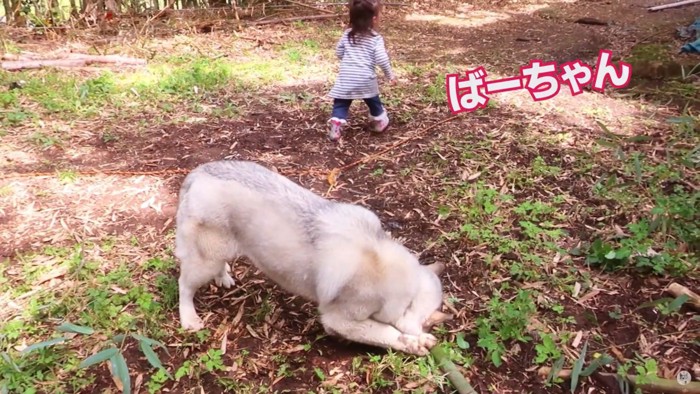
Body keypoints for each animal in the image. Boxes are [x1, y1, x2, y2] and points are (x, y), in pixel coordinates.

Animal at [172, 159, 452, 356]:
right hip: (204, 262)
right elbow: (385, 332)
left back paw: (223, 277)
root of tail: (199, 173)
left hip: (219, 252)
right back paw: (189, 318)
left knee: (217, 265)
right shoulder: (340, 321)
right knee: (183, 285)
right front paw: (412, 342)